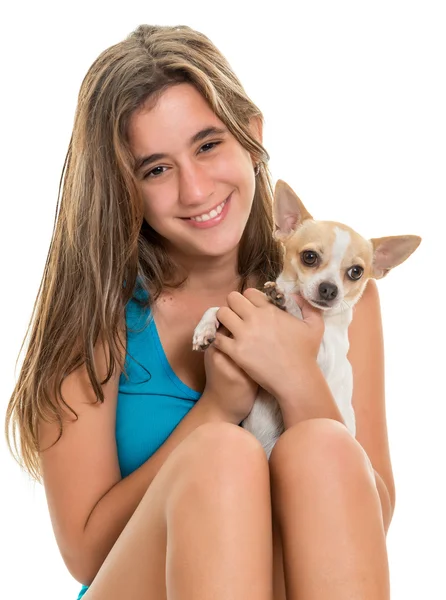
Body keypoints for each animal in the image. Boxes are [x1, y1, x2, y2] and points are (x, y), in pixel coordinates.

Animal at [193, 180, 422, 458]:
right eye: (309, 257)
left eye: (356, 272)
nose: (329, 289)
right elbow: (219, 305)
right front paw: (205, 328)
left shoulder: (322, 359)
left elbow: (298, 314)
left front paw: (286, 300)